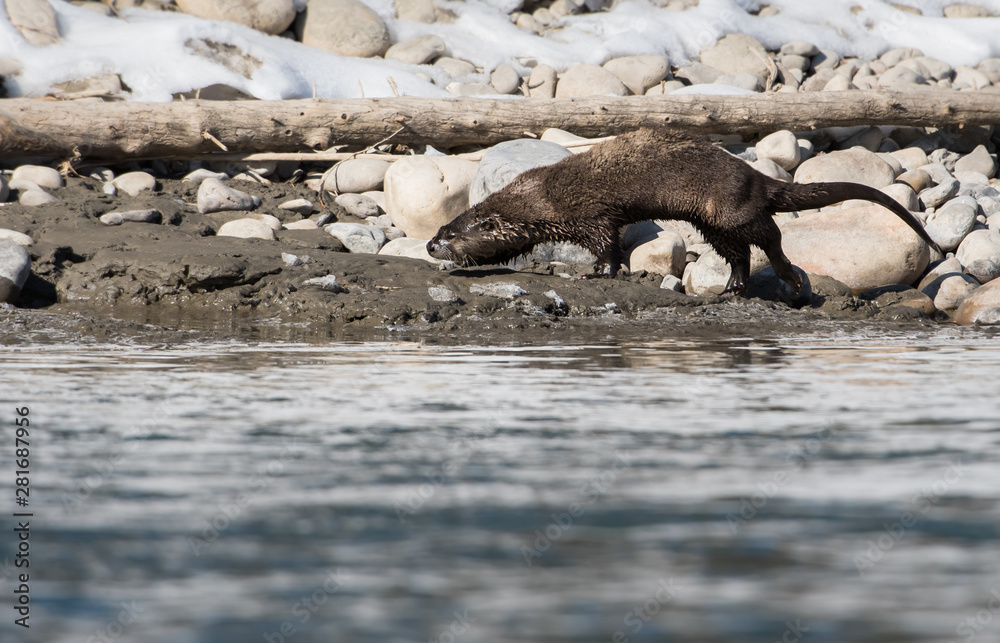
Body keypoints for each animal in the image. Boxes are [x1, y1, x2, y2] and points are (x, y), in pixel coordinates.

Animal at [426, 126, 940, 295]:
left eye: (452, 235)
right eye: (442, 227)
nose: (431, 245)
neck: (544, 195)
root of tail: (753, 176)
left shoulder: (591, 215)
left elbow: (608, 247)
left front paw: (597, 273)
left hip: (732, 207)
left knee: (770, 237)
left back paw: (789, 279)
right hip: (713, 222)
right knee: (739, 253)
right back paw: (731, 289)